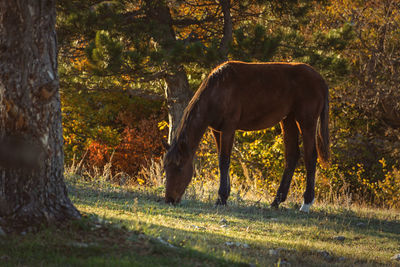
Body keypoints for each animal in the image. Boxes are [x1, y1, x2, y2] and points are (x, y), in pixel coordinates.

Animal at [162, 59, 328, 213]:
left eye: (179, 168)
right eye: (166, 167)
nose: (169, 199)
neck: (218, 89)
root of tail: (319, 78)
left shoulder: (229, 128)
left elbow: (224, 161)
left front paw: (221, 198)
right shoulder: (216, 131)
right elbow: (221, 159)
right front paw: (225, 195)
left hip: (306, 122)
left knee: (310, 157)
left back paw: (306, 204)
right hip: (288, 120)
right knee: (292, 156)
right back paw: (276, 201)